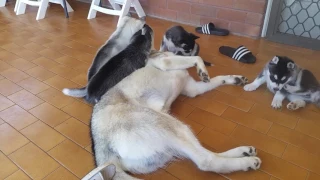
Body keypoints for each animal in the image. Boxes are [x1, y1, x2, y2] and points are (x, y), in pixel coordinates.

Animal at [86, 47, 262, 179]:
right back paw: (247, 162)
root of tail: (101, 149)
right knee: (206, 160)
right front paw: (202, 69)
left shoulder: (192, 89)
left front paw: (233, 79)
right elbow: (197, 57)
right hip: (170, 124)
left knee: (205, 153)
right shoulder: (166, 62)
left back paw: (243, 152)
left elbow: (218, 78)